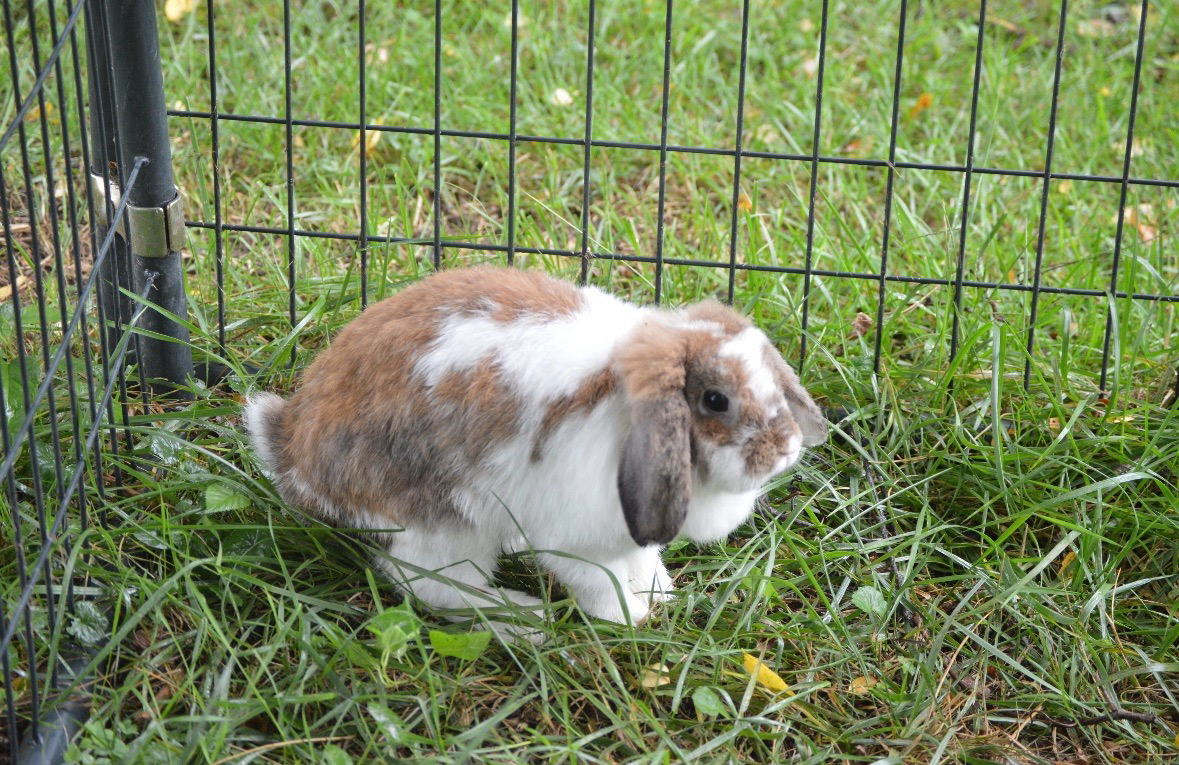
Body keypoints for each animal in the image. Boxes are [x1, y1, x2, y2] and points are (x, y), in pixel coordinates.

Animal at [244, 266, 826, 626]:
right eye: (715, 400)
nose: (785, 449)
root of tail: (295, 454)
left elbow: (643, 557)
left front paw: (659, 592)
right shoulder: (575, 539)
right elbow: (601, 581)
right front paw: (630, 617)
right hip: (444, 527)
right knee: (432, 586)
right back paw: (524, 619)